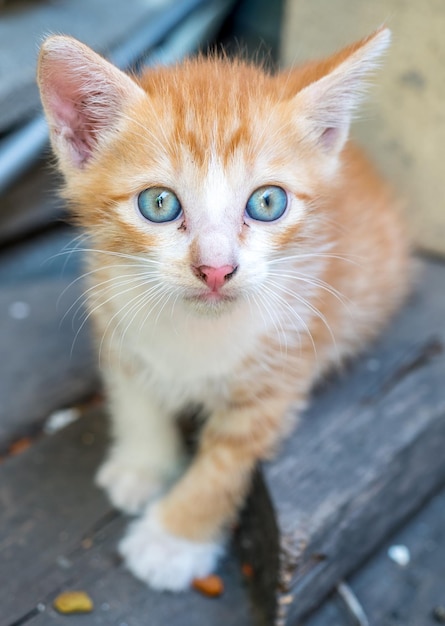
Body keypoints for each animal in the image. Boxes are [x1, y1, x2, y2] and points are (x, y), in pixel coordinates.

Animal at [39, 26, 410, 588]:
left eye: (267, 203)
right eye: (159, 204)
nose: (216, 268)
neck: (195, 333)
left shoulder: (281, 372)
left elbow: (224, 467)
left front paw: (172, 541)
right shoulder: (113, 313)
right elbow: (136, 397)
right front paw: (143, 463)